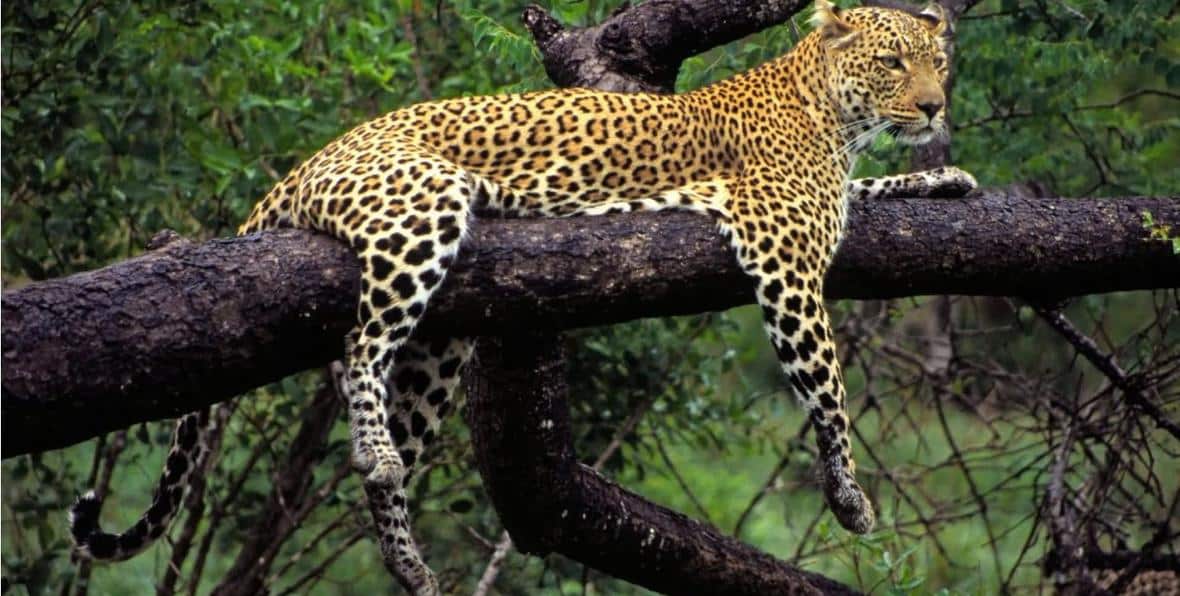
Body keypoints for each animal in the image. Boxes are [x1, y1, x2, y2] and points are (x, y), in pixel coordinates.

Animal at [71, 2, 977, 592]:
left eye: (939, 63)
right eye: (893, 62)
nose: (935, 106)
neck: (831, 111)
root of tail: (310, 160)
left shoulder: (824, 206)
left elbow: (875, 190)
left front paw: (944, 178)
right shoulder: (783, 250)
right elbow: (829, 389)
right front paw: (849, 495)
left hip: (439, 343)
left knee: (394, 413)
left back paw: (405, 558)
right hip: (421, 209)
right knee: (361, 346)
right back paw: (376, 452)